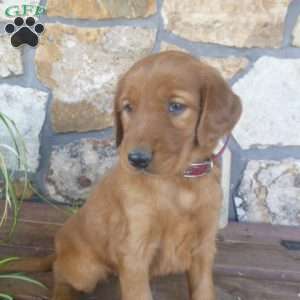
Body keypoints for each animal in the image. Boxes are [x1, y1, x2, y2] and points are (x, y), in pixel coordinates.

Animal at [1, 50, 241, 298]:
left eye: (175, 106)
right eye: (128, 107)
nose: (136, 159)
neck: (179, 182)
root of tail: (59, 251)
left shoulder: (204, 247)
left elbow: (204, 290)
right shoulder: (134, 250)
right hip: (85, 269)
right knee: (62, 275)